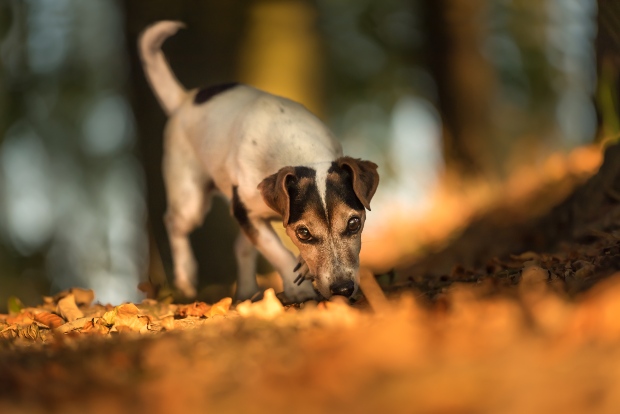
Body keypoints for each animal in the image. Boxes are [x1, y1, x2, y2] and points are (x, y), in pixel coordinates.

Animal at [138, 21, 378, 302]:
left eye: (354, 223)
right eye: (304, 233)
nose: (343, 289)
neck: (297, 148)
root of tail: (184, 99)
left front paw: (304, 268)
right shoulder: (246, 213)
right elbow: (277, 251)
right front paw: (298, 290)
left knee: (241, 246)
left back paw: (246, 292)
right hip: (190, 201)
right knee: (175, 223)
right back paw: (186, 278)